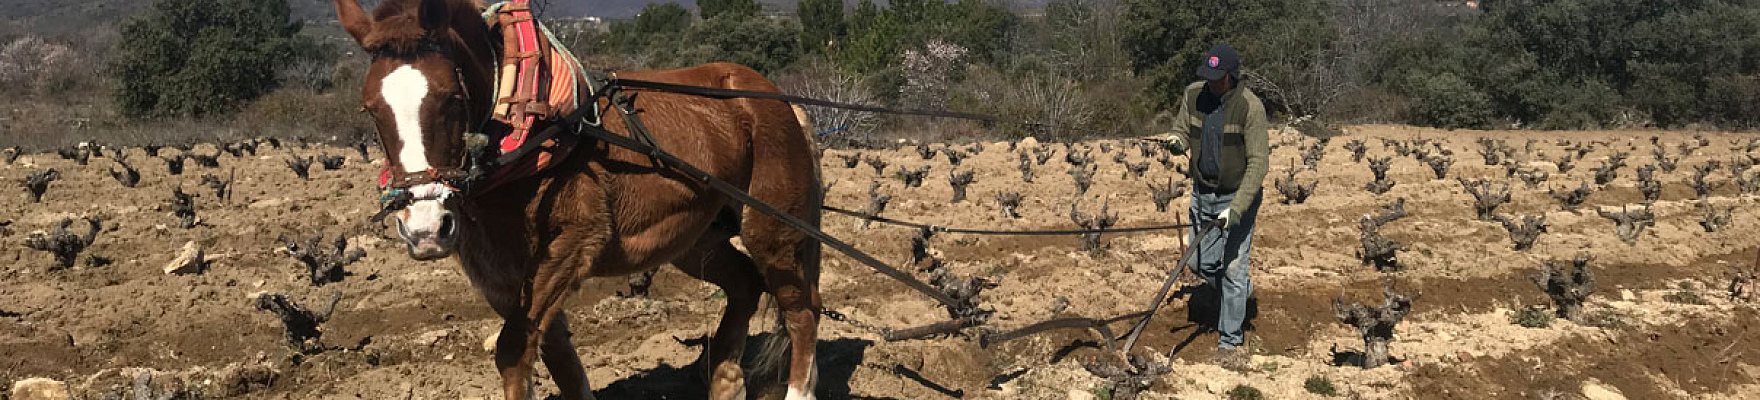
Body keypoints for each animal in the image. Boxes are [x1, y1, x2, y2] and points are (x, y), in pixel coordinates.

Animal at [334, 0, 823, 400]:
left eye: (451, 99)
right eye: (370, 109)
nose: (426, 229)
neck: (529, 129)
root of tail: (777, 99)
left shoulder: (573, 242)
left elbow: (513, 349)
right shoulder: (499, 273)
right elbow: (556, 359)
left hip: (773, 228)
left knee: (801, 310)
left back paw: (797, 389)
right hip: (695, 238)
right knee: (745, 284)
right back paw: (724, 382)